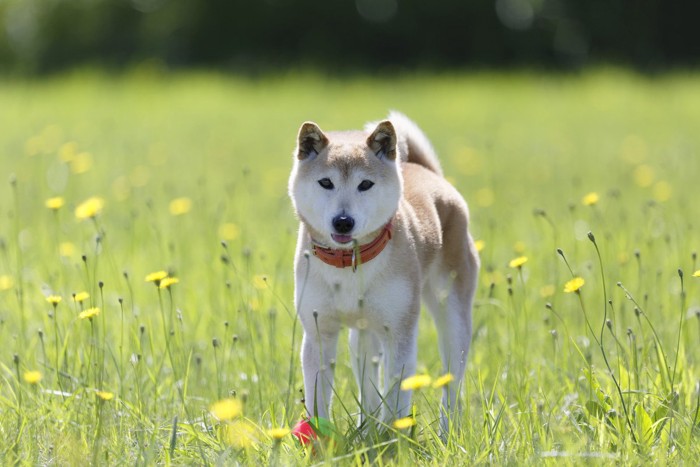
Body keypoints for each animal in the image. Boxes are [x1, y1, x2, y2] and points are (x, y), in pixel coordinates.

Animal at [288, 111, 478, 434]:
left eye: (365, 185)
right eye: (326, 182)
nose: (343, 221)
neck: (350, 261)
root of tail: (430, 173)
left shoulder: (399, 332)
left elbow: (398, 393)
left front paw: (395, 437)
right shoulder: (319, 332)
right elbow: (318, 396)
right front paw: (318, 437)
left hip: (453, 317)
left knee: (452, 381)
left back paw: (446, 431)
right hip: (363, 334)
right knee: (367, 378)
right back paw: (367, 426)